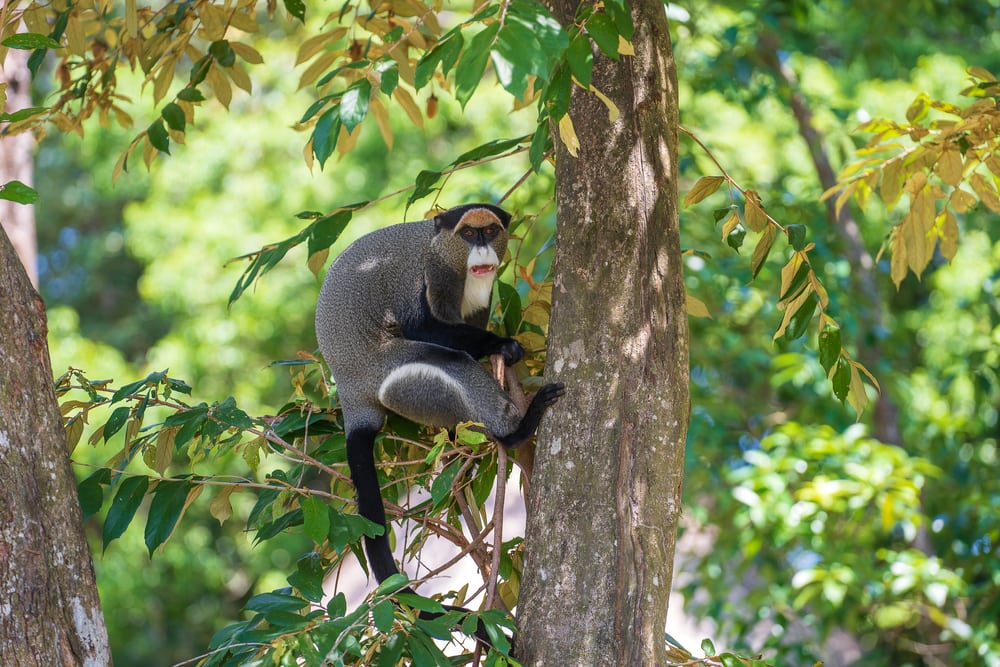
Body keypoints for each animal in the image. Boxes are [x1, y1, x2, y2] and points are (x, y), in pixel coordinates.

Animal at [314, 203, 564, 626]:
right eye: (468, 234)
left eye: (489, 231)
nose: (482, 249)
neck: (444, 251)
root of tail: (353, 397)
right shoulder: (430, 278)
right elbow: (427, 328)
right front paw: (502, 344)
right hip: (392, 375)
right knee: (452, 363)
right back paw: (515, 430)